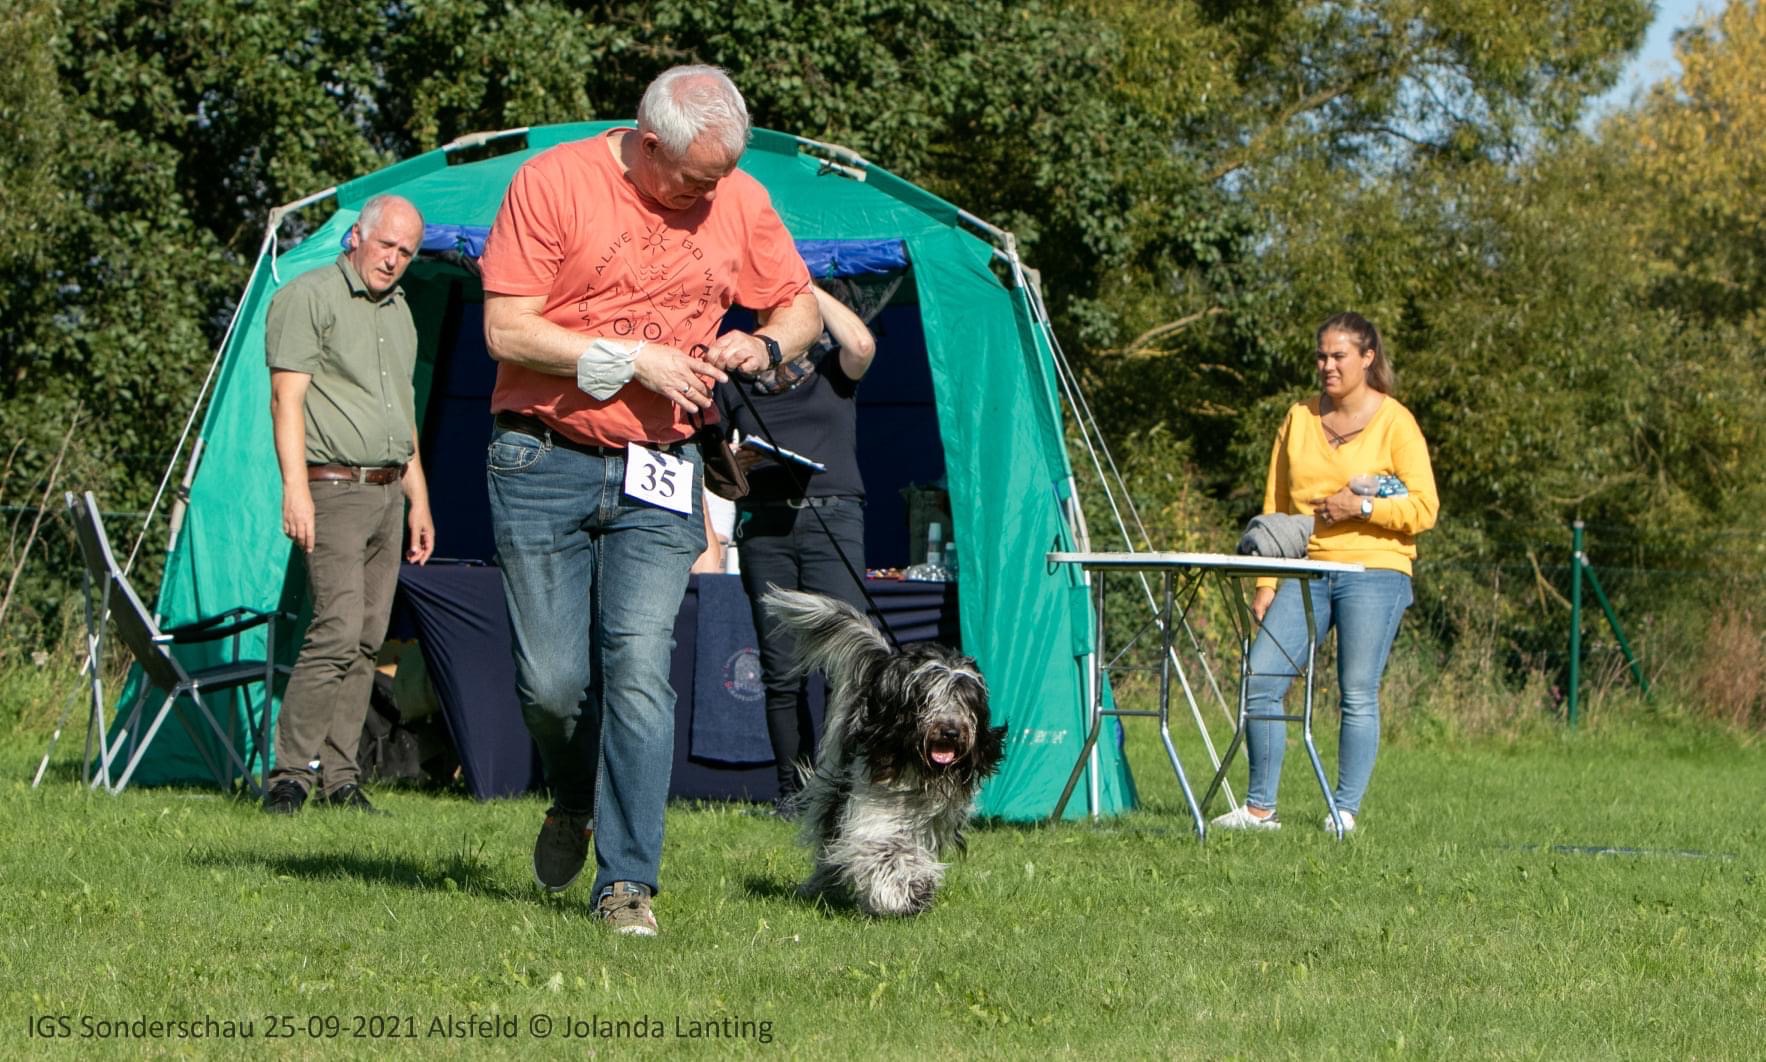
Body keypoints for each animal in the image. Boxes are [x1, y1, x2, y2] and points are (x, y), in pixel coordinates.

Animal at [759, 583, 1010, 911]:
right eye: (927, 697)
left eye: (966, 701)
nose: (951, 731)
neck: (917, 767)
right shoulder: (872, 806)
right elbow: (882, 849)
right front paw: (902, 890)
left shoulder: (930, 821)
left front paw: (916, 886)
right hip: (838, 785)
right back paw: (821, 884)